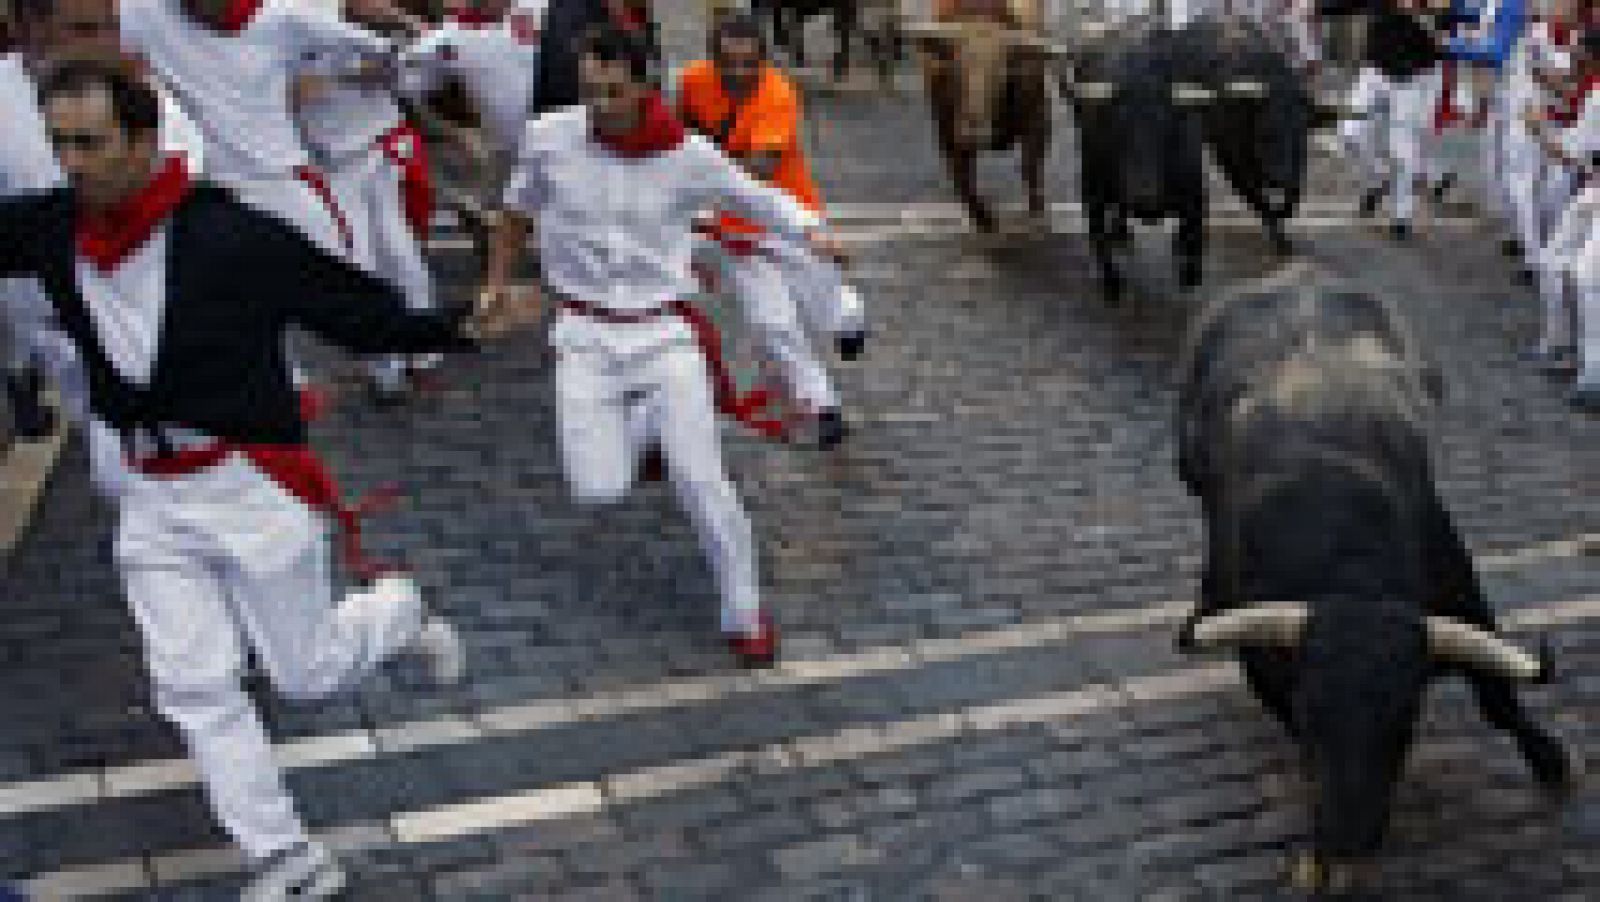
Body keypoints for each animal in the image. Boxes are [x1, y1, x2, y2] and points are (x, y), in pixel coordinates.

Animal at [908, 0, 1068, 231]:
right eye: (956, 68)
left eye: (1001, 72)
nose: (973, 132)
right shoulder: (946, 132)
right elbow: (963, 181)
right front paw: (984, 219)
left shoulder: (1039, 118)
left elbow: (1031, 167)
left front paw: (1037, 215)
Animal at [1177, 262, 1574, 895]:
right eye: (1309, 711)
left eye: (1404, 718)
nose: (1347, 838)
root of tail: (1295, 272)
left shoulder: (1464, 600)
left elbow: (1498, 699)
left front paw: (1550, 758)